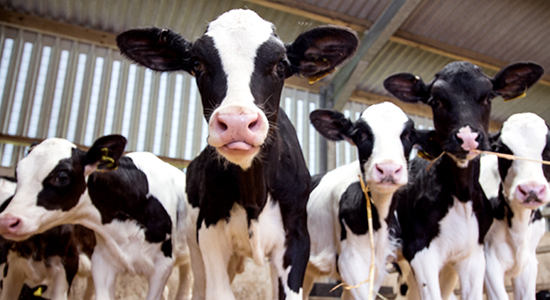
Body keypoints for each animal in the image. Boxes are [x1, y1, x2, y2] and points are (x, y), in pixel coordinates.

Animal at [115, 8, 358, 300]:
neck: (254, 195)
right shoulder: (209, 230)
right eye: (197, 63)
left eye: (281, 64)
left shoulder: (297, 238)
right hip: (195, 247)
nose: (237, 122)